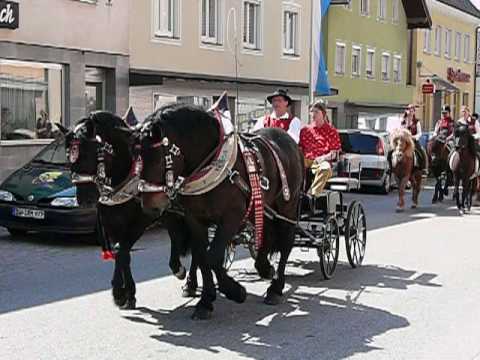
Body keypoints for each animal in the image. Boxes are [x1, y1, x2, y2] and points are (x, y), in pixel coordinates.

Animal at [135, 102, 304, 320]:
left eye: (157, 159)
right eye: (137, 159)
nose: (149, 205)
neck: (212, 163)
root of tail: (289, 141)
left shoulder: (232, 217)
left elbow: (213, 256)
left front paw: (235, 291)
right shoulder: (195, 220)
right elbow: (201, 256)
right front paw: (205, 301)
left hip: (288, 206)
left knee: (285, 243)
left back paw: (276, 287)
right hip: (264, 207)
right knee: (266, 234)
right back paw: (264, 267)